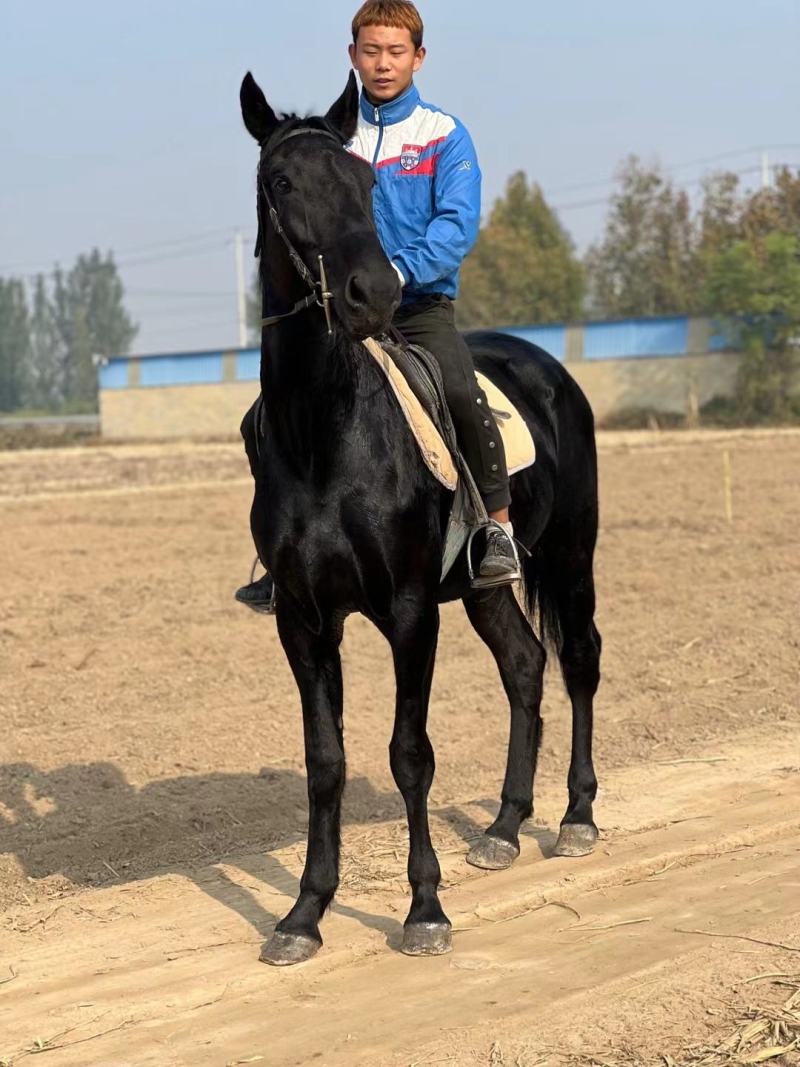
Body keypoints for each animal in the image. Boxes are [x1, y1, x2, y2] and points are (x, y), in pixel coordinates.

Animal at [239, 71, 601, 966]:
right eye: (281, 182)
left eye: (365, 183)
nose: (375, 293)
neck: (324, 433)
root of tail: (549, 369)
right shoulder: (303, 621)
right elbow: (324, 759)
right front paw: (304, 913)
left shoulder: (408, 613)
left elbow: (410, 754)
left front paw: (425, 908)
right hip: (483, 586)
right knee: (525, 665)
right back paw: (504, 827)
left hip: (570, 555)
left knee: (578, 659)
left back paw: (577, 816)